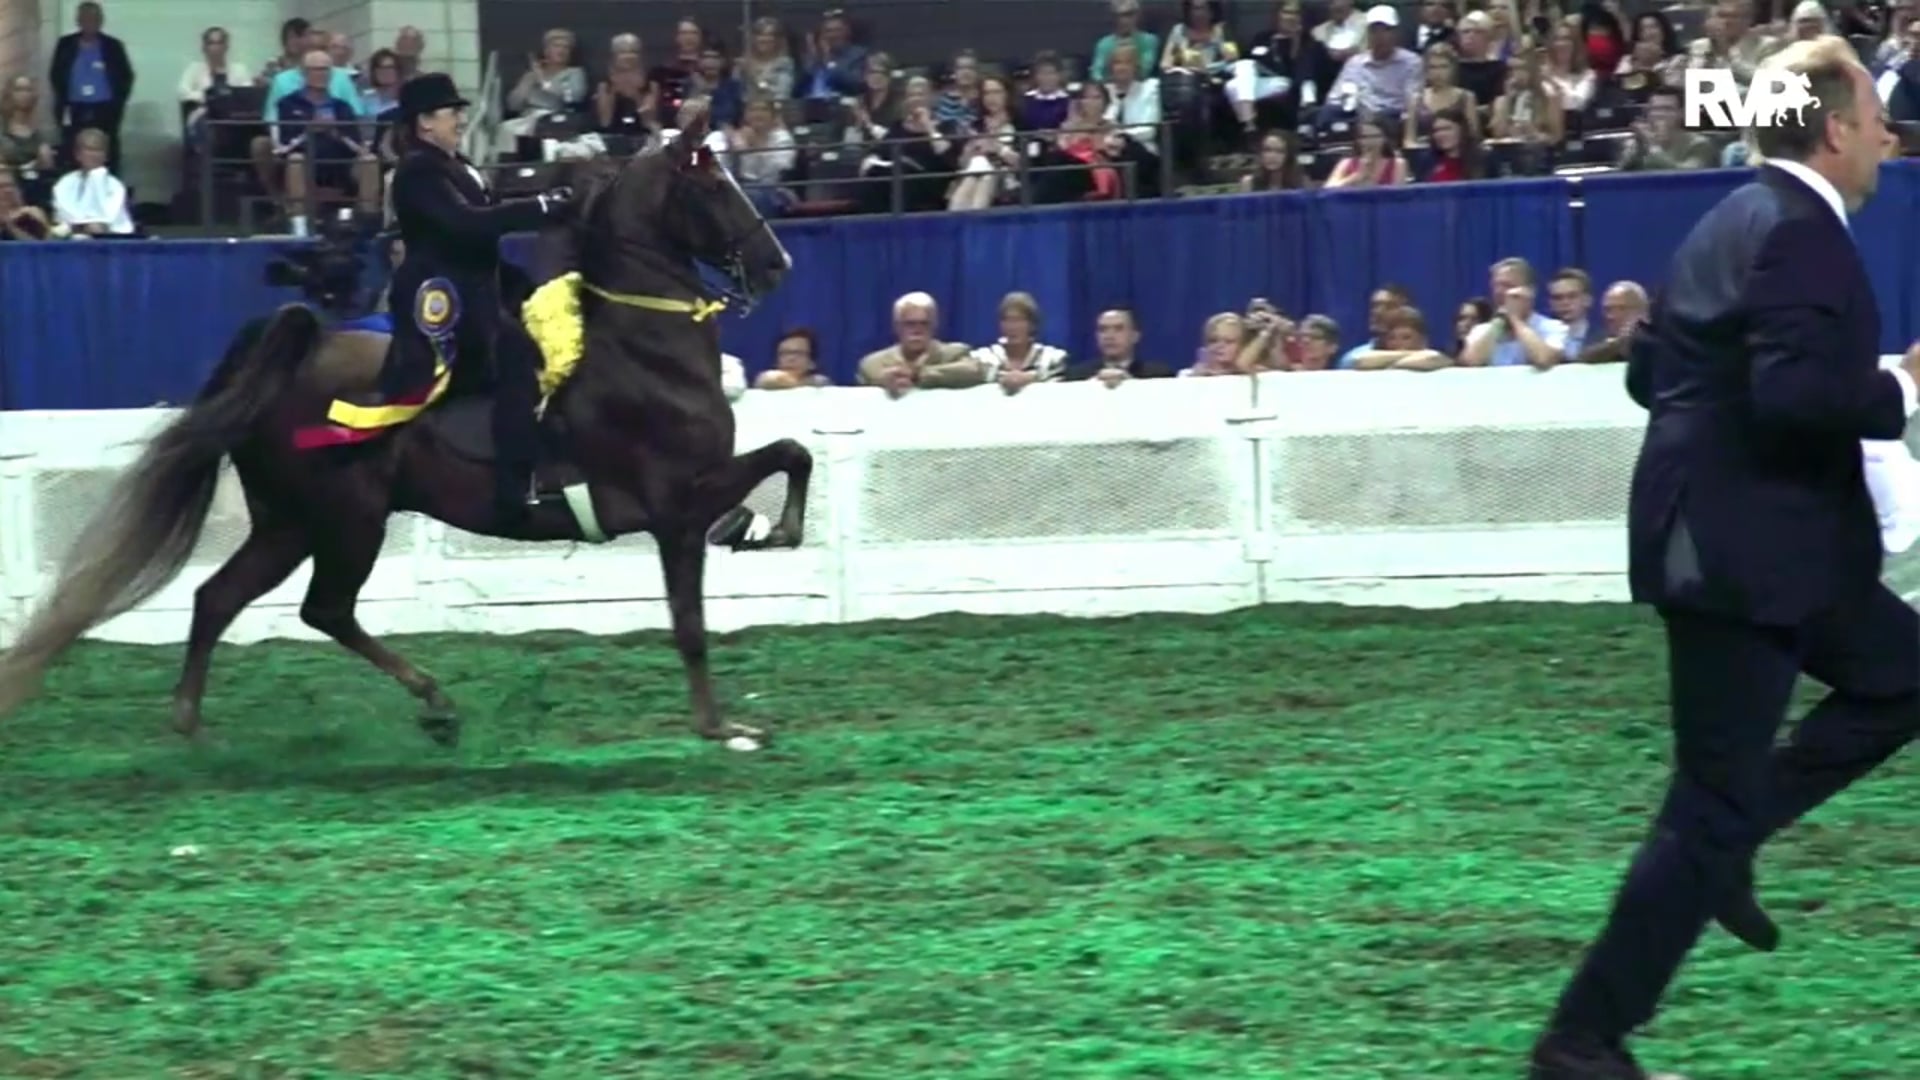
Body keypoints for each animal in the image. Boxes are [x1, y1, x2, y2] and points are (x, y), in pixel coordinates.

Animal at [0, 110, 808, 751]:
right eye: (712, 186)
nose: (778, 265)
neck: (642, 345)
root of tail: (300, 351)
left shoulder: (692, 499)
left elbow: (788, 454)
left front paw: (760, 530)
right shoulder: (675, 504)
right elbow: (694, 617)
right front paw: (721, 726)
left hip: (290, 523)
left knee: (219, 599)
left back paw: (194, 725)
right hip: (347, 520)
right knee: (321, 609)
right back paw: (433, 704)